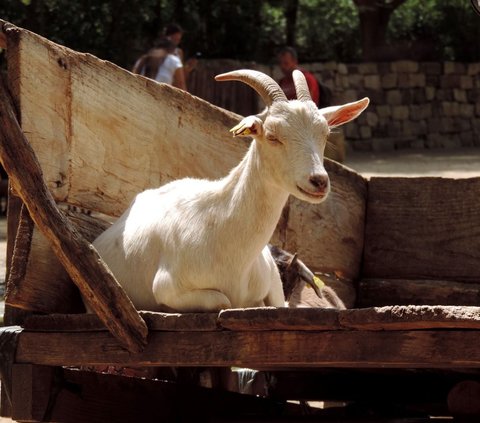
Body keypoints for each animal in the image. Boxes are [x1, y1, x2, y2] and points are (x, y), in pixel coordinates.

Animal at [94, 69, 372, 314]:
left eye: (325, 133)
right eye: (272, 135)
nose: (319, 181)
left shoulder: (272, 287)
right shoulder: (168, 287)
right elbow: (224, 301)